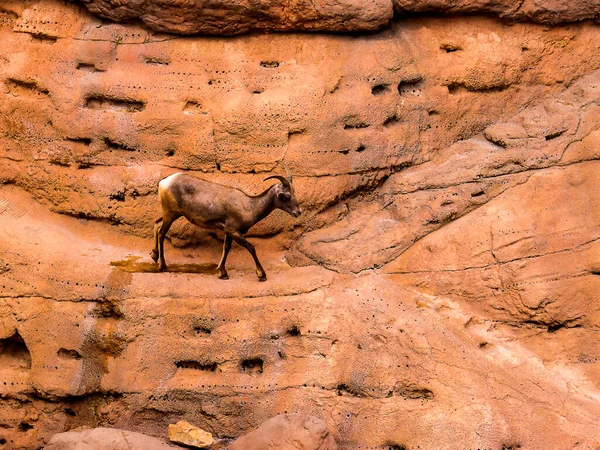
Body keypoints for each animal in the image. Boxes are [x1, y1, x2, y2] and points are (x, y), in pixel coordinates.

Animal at [150, 169, 300, 282]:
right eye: (286, 196)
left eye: (294, 193)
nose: (298, 212)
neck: (249, 206)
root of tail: (164, 182)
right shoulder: (234, 231)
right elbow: (251, 247)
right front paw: (261, 275)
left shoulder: (229, 232)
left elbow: (226, 248)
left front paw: (222, 273)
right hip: (170, 214)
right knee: (162, 233)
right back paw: (162, 266)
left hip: (170, 214)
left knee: (156, 223)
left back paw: (154, 255)